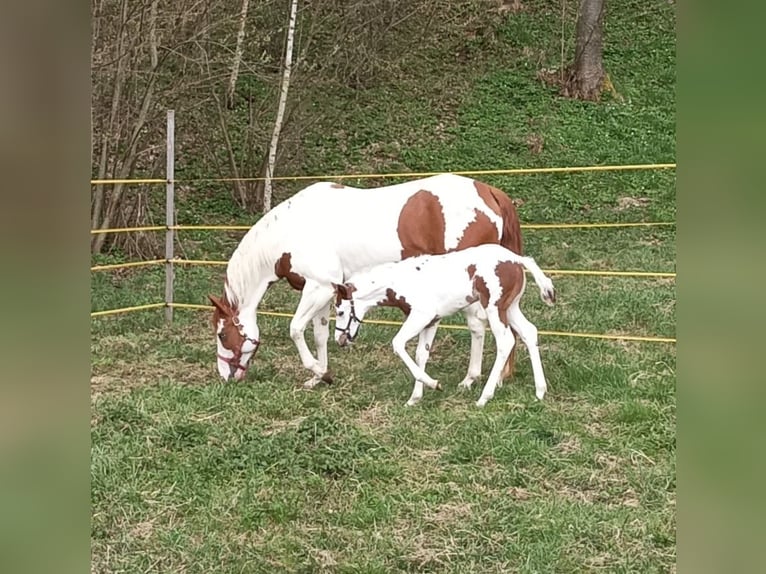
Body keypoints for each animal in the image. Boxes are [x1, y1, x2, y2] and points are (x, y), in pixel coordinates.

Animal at [208, 173, 524, 388]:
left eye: (222, 334)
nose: (225, 376)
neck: (290, 232)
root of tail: (489, 192)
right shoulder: (326, 292)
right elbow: (320, 334)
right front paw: (321, 376)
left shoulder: (317, 288)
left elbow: (296, 329)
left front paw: (317, 370)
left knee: (478, 326)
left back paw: (473, 379)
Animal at [333, 244, 556, 407]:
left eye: (340, 312)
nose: (340, 339)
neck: (400, 282)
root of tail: (517, 258)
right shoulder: (432, 321)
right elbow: (421, 354)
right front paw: (415, 398)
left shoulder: (421, 316)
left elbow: (398, 344)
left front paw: (433, 384)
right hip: (510, 308)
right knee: (529, 332)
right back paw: (540, 390)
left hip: (495, 309)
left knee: (505, 341)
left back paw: (484, 397)